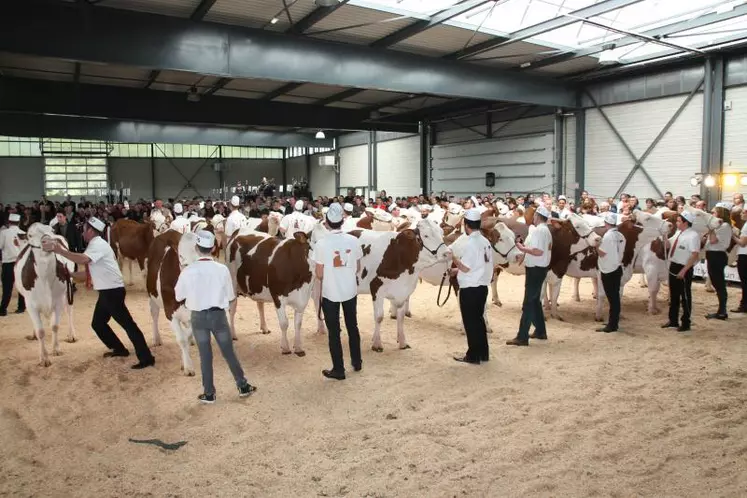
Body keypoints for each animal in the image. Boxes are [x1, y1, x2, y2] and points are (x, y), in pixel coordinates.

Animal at [14, 224, 76, 368]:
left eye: (51, 230)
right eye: (30, 235)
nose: (48, 241)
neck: (45, 277)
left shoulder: (58, 300)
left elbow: (55, 326)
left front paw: (56, 349)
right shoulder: (30, 304)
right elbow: (40, 331)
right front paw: (44, 358)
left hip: (68, 290)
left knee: (69, 311)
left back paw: (71, 335)